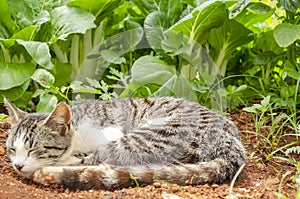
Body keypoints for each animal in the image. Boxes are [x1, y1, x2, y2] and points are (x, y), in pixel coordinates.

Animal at [3, 96, 246, 190]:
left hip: (149, 135)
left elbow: (90, 157)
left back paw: (51, 173)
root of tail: (232, 141)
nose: (18, 165)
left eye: (34, 149)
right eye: (12, 149)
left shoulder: (109, 132)